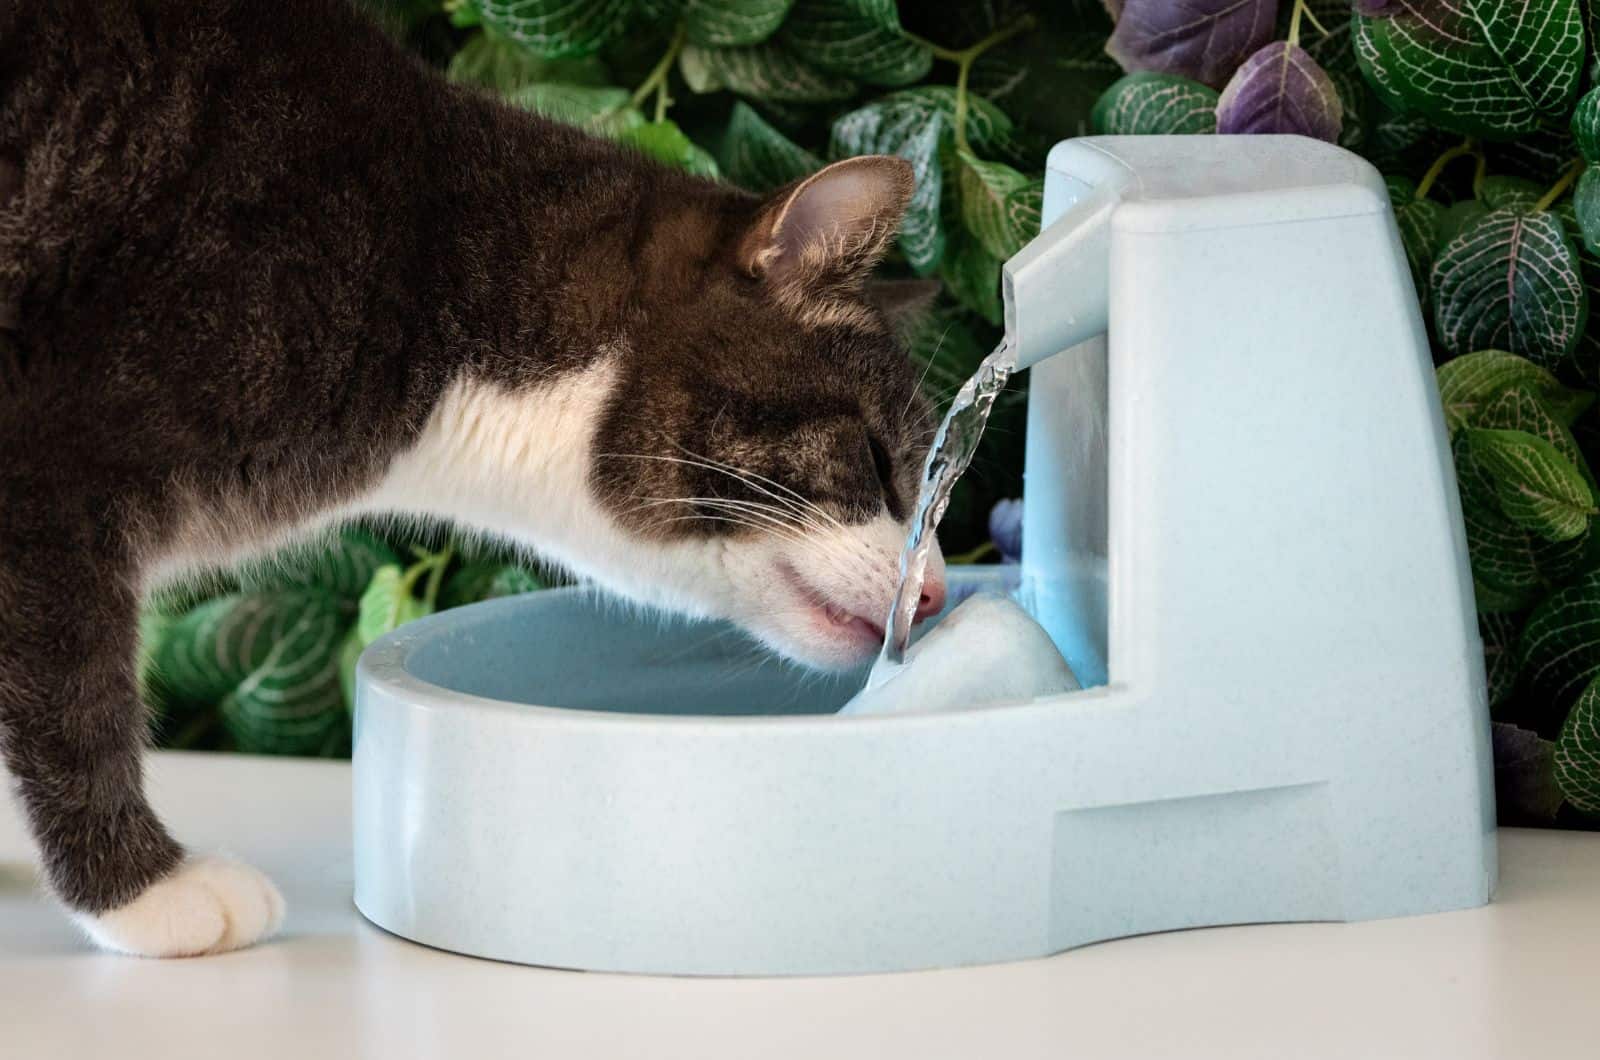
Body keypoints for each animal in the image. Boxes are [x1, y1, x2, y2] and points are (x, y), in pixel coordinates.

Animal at [0, 0, 947, 960]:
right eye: (877, 460)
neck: (429, 262)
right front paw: (147, 894)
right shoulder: (48, 465)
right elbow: (77, 695)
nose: (936, 589)